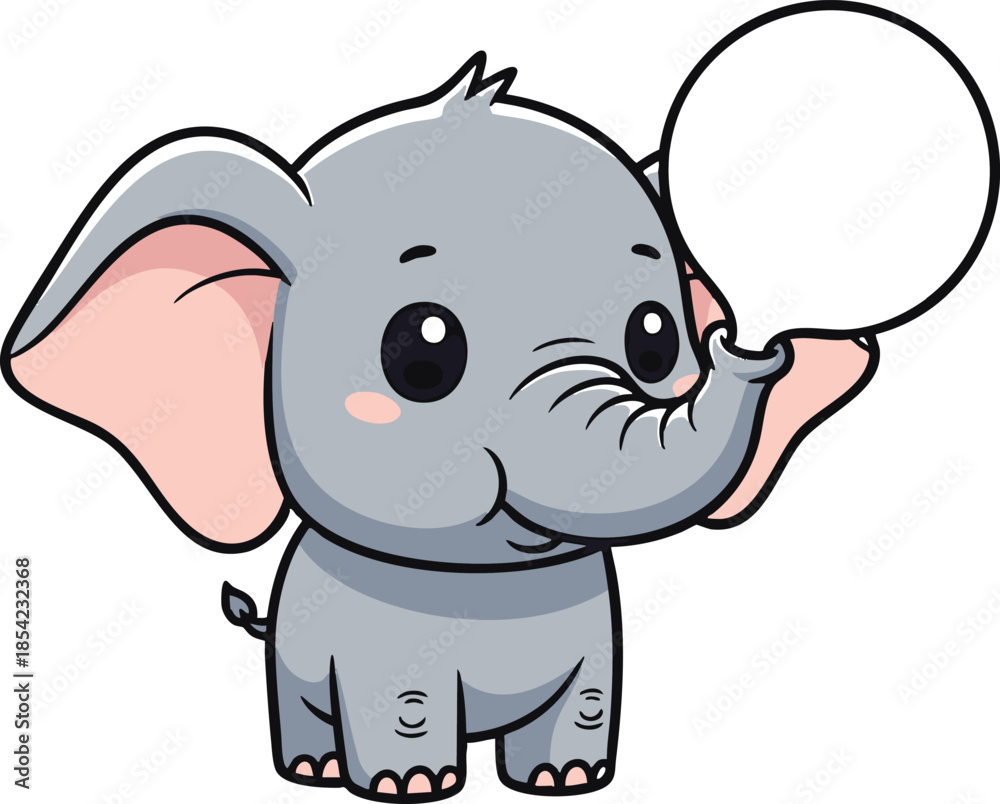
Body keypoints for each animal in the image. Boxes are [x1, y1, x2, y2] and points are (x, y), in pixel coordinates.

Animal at [10, 46, 944, 801]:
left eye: (654, 337)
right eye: (422, 351)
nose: (748, 347)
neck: (485, 587)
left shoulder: (598, 639)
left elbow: (590, 699)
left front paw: (569, 780)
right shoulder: (381, 647)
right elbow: (404, 704)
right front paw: (411, 785)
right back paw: (314, 769)